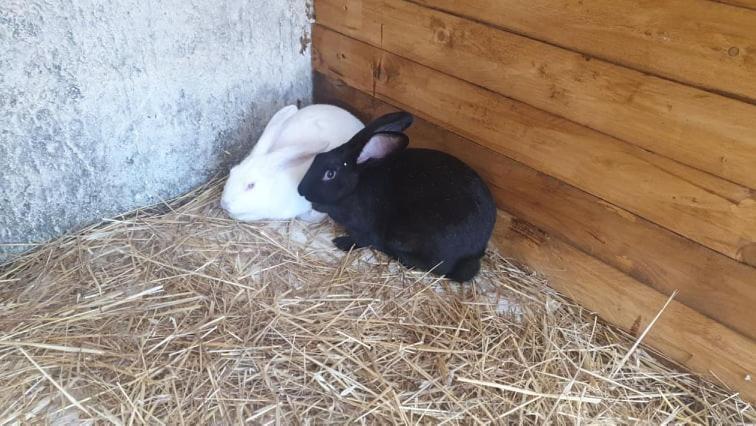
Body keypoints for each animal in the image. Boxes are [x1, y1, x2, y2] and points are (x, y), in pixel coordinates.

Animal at [296, 111, 496, 282]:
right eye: (317, 157)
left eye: (330, 174)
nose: (301, 190)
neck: (356, 187)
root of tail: (476, 250)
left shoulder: (365, 229)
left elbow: (362, 240)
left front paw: (341, 242)